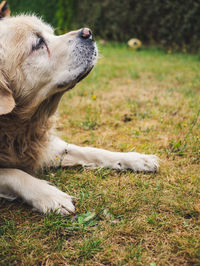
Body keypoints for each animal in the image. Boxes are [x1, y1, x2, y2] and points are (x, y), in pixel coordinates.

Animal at [0, 2, 159, 216]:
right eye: (38, 44)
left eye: (51, 33)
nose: (88, 32)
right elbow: (13, 173)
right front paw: (49, 195)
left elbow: (91, 151)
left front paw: (137, 158)